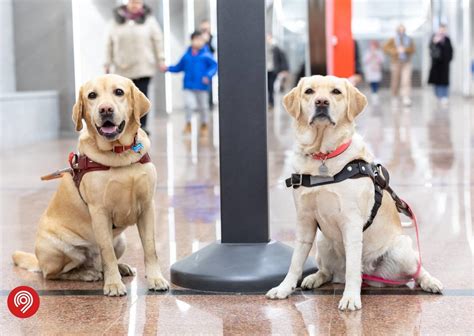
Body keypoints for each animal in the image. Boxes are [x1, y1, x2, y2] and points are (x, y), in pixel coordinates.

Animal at [12, 74, 170, 296]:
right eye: (92, 95)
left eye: (119, 92)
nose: (105, 109)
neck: (119, 153)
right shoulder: (100, 211)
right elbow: (107, 252)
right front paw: (113, 284)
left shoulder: (147, 207)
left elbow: (150, 248)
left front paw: (156, 278)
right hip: (59, 249)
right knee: (54, 274)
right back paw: (86, 273)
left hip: (121, 241)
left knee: (100, 262)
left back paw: (118, 268)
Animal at [264, 75, 442, 310]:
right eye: (309, 91)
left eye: (336, 92)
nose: (322, 102)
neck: (323, 157)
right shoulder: (305, 221)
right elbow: (295, 261)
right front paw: (284, 287)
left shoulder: (351, 222)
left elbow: (352, 269)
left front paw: (350, 297)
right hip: (322, 241)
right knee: (329, 272)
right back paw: (314, 278)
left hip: (402, 249)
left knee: (416, 270)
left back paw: (430, 281)